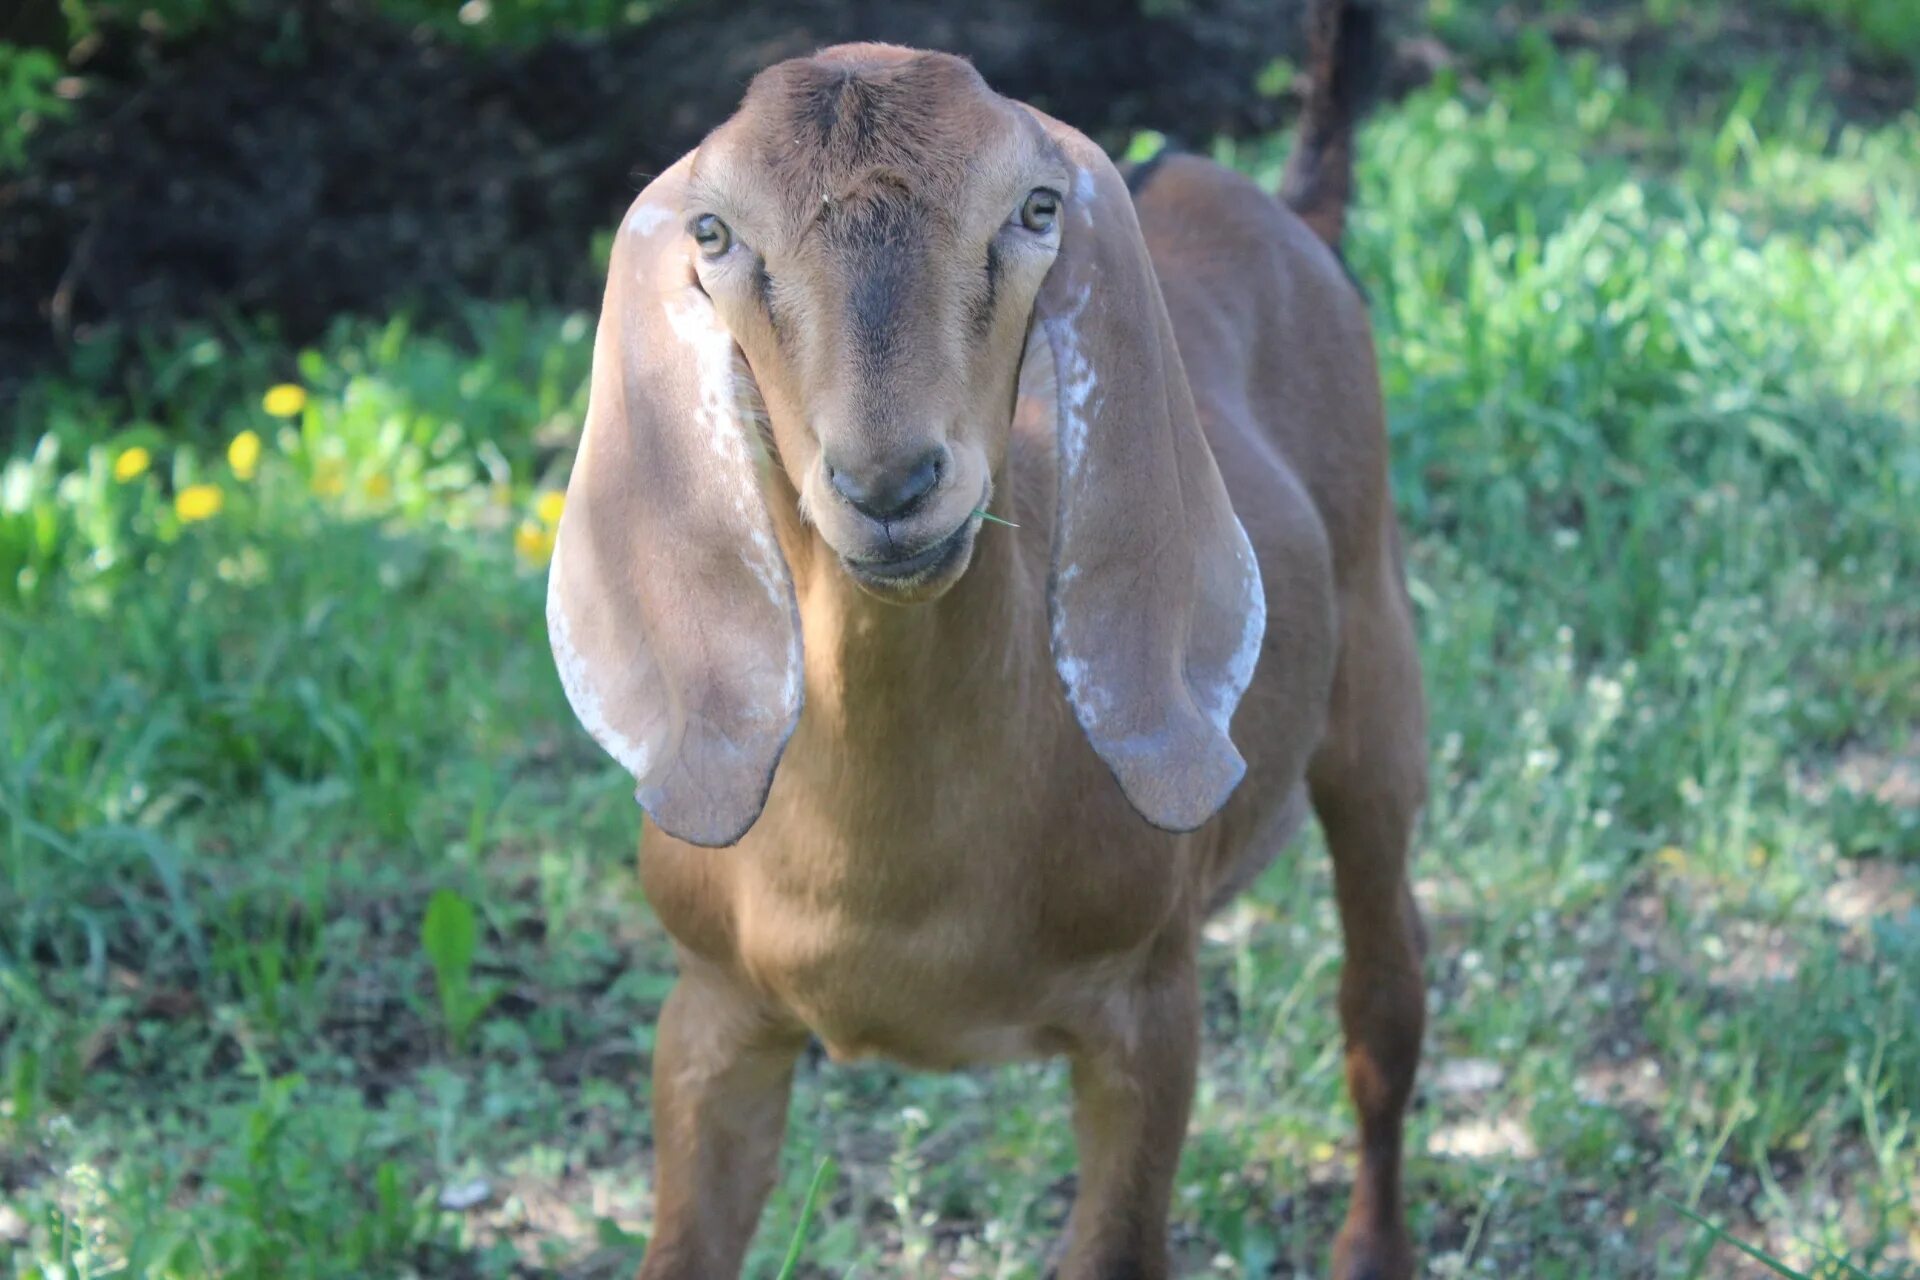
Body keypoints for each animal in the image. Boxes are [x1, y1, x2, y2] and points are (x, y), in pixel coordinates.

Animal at [549, 5, 1436, 1274]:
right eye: (713, 231)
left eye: (1035, 207)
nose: (892, 484)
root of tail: (1289, 208)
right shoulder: (712, 1003)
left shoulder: (1148, 1006)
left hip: (1377, 664)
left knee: (1383, 993)